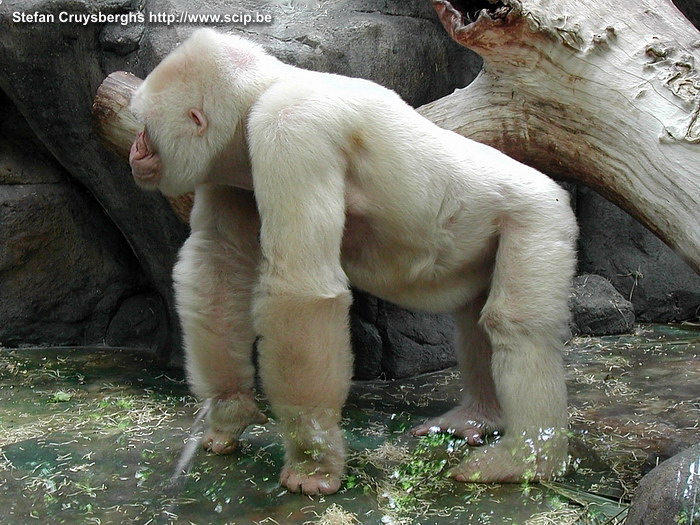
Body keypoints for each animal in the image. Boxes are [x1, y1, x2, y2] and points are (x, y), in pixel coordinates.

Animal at [129, 28, 576, 496]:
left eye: (144, 126)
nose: (134, 150)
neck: (262, 92)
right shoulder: (226, 168)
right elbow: (218, 270)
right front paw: (228, 410)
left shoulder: (291, 130)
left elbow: (300, 291)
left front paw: (313, 461)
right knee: (476, 322)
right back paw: (478, 417)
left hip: (539, 215)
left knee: (518, 327)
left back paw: (526, 460)